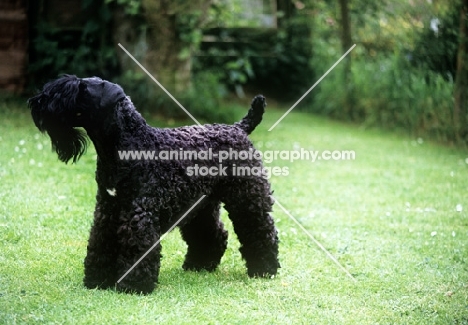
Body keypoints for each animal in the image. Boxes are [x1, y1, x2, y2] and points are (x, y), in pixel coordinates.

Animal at [29, 76, 280, 294]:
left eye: (76, 89)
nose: (36, 102)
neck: (128, 144)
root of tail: (238, 128)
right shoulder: (107, 208)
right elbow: (100, 240)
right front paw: (98, 280)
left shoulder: (139, 211)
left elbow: (136, 246)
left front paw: (134, 285)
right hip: (201, 205)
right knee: (212, 233)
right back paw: (199, 265)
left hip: (247, 198)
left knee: (261, 228)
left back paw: (264, 269)